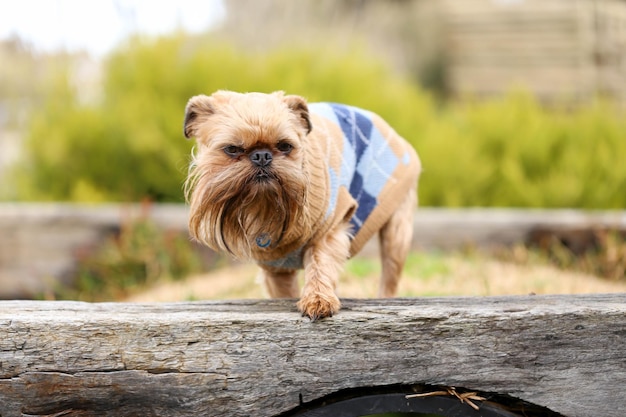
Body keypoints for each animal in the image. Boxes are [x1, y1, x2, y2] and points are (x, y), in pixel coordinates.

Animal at [183, 90, 422, 318]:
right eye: (232, 149)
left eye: (284, 146)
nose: (262, 155)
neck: (267, 206)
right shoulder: (274, 269)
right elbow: (284, 291)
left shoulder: (327, 231)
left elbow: (320, 264)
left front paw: (318, 300)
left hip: (397, 233)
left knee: (390, 272)